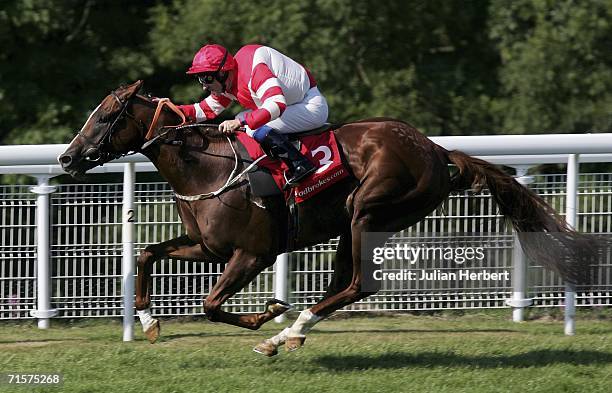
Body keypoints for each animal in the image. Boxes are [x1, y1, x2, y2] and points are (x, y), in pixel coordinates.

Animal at [58, 80, 592, 356]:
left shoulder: (252, 254)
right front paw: (149, 322)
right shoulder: (208, 247)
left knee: (359, 285)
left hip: (369, 211)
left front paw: (266, 312)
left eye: (104, 116)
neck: (205, 166)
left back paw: (286, 331)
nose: (66, 158)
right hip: (350, 228)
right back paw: (289, 333)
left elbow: (210, 304)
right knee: (343, 284)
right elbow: (147, 253)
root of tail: (438, 152)